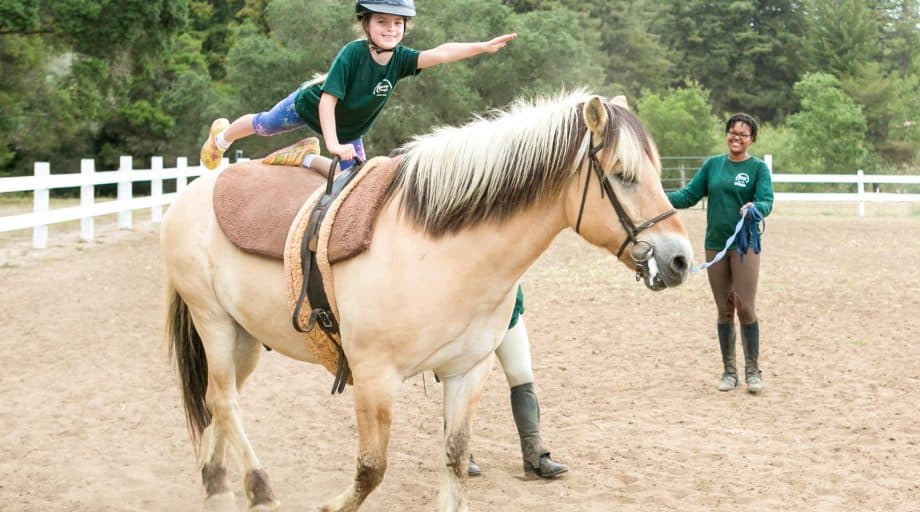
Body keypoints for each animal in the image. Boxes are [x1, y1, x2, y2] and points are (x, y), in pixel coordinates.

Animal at [162, 90, 692, 510]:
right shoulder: (374, 378)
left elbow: (454, 463)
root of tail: (195, 190)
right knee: (226, 401)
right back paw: (258, 489)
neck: (438, 249)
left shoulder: (467, 372)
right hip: (213, 321)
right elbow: (370, 470)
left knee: (217, 402)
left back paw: (217, 485)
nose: (681, 259)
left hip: (245, 336)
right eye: (622, 174)